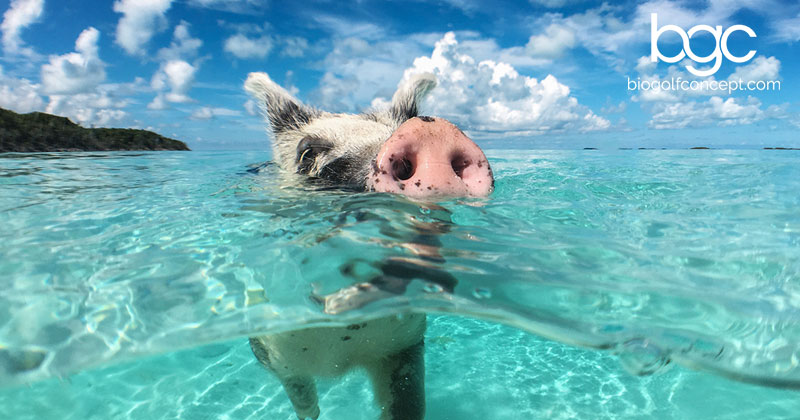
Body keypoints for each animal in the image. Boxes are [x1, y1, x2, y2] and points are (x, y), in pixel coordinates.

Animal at [244, 72, 494, 420]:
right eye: (307, 154)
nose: (431, 131)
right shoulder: (274, 352)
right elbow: (303, 400)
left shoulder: (406, 345)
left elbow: (407, 403)